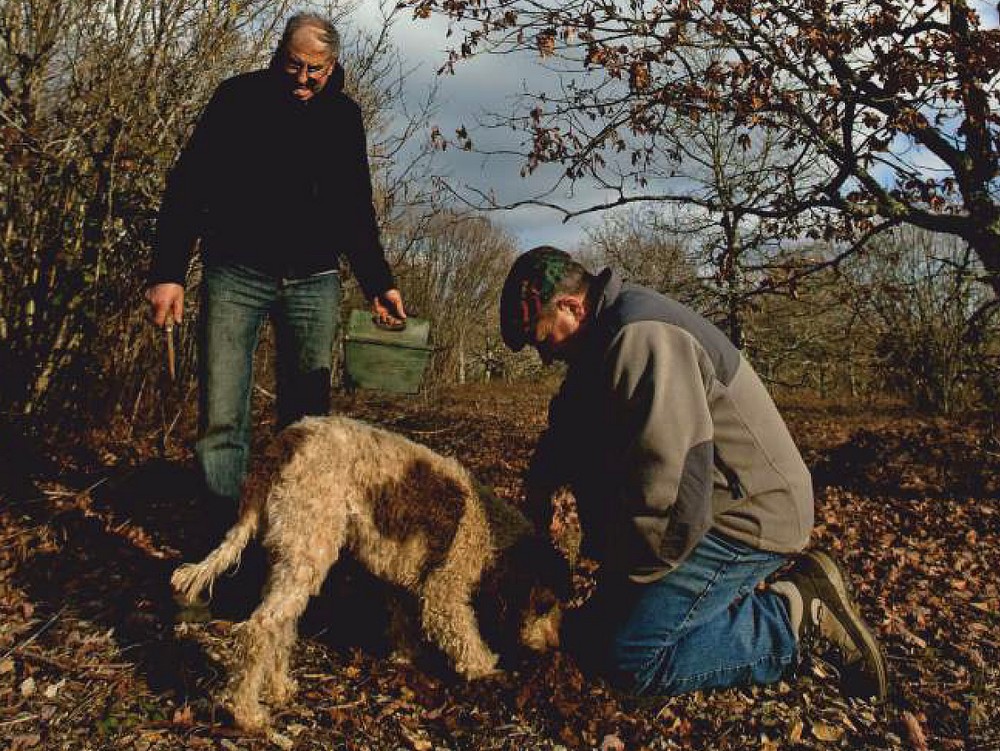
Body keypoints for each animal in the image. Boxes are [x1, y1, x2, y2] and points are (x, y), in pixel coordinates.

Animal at [172, 414, 564, 732]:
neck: (492, 533)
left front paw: (406, 657)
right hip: (309, 552)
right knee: (258, 629)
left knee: (281, 627)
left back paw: (279, 688)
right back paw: (246, 713)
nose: (553, 648)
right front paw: (485, 667)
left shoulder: (401, 581)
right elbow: (465, 635)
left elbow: (403, 622)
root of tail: (288, 440)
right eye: (548, 604)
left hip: (292, 557)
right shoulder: (443, 592)